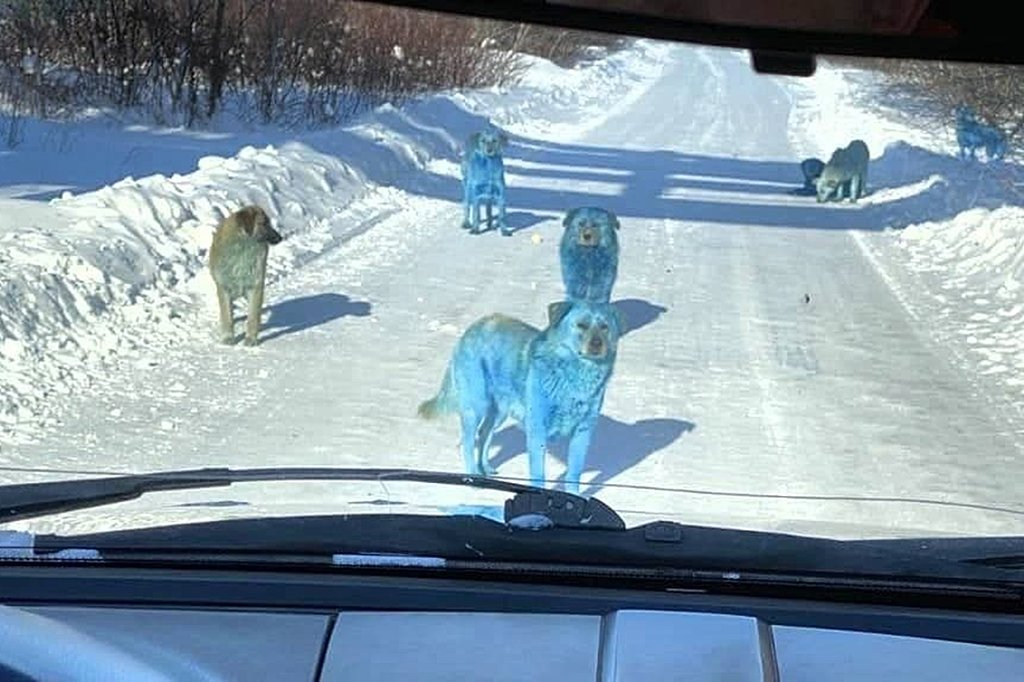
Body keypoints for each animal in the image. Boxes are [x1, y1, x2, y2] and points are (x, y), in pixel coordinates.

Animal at [206, 204, 282, 346]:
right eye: (263, 223)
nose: (280, 238)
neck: (243, 246)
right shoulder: (224, 288)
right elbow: (227, 315)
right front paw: (228, 337)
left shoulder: (255, 287)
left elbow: (252, 317)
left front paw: (251, 339)